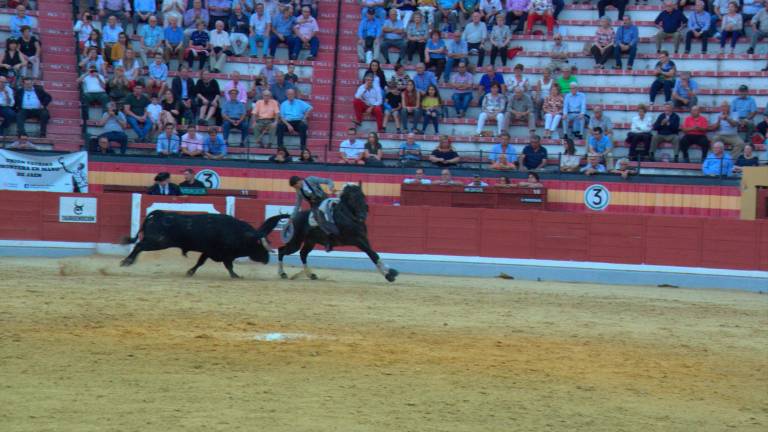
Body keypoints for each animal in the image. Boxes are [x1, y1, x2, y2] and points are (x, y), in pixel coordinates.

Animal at [120, 211, 288, 278]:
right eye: (258, 245)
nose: (267, 259)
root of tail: (159, 214)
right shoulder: (221, 253)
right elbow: (228, 266)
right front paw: (236, 276)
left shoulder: (210, 252)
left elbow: (200, 262)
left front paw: (190, 272)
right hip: (157, 242)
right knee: (139, 246)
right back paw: (127, 261)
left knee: (139, 245)